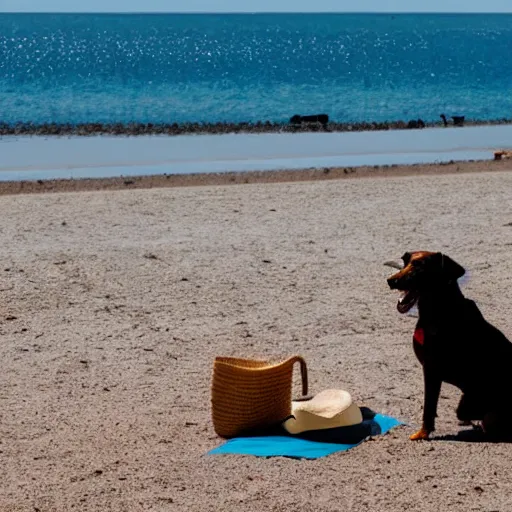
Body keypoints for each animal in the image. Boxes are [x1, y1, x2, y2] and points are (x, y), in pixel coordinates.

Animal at [386, 252, 512, 440]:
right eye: (405, 261)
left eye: (419, 265)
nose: (390, 280)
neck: (438, 310)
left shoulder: (431, 370)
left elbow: (429, 407)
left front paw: (423, 433)